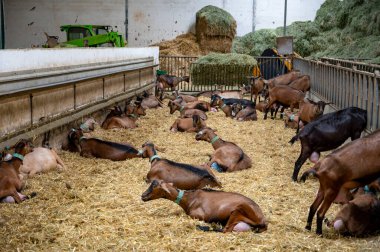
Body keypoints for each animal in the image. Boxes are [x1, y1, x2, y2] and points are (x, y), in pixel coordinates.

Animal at [140, 181, 268, 232]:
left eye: (154, 186)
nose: (143, 196)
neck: (189, 199)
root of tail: (263, 220)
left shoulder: (199, 216)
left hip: (238, 211)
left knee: (225, 230)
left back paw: (204, 227)